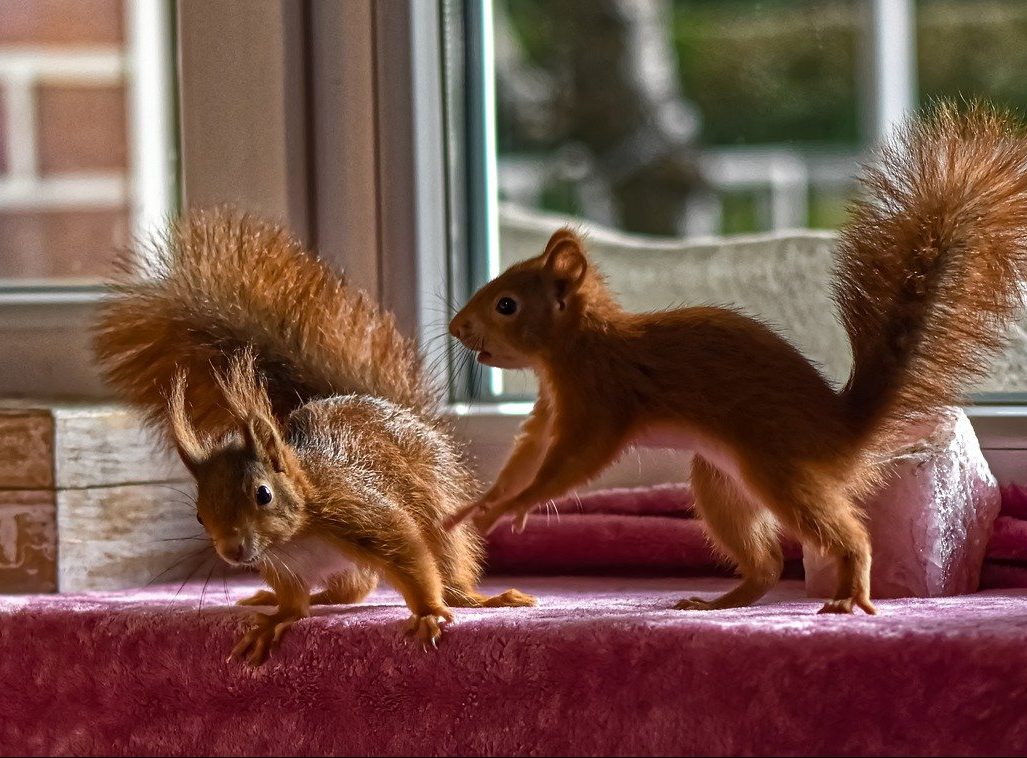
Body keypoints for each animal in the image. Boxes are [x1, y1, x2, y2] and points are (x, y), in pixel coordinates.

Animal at [93, 209, 535, 665]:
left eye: (263, 494)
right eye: (199, 515)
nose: (232, 551)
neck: (296, 534)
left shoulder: (362, 514)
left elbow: (410, 554)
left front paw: (429, 612)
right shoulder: (283, 567)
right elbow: (293, 603)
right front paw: (277, 618)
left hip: (435, 509)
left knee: (443, 567)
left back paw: (476, 599)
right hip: (346, 570)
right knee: (351, 590)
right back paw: (289, 598)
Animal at [445, 101, 1027, 615]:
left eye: (505, 304)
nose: (455, 327)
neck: (578, 346)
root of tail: (843, 434)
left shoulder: (600, 400)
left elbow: (573, 462)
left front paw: (517, 506)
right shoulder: (552, 407)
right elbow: (527, 450)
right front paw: (482, 505)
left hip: (778, 469)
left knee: (846, 534)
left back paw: (850, 591)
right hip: (722, 483)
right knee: (765, 563)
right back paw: (720, 601)